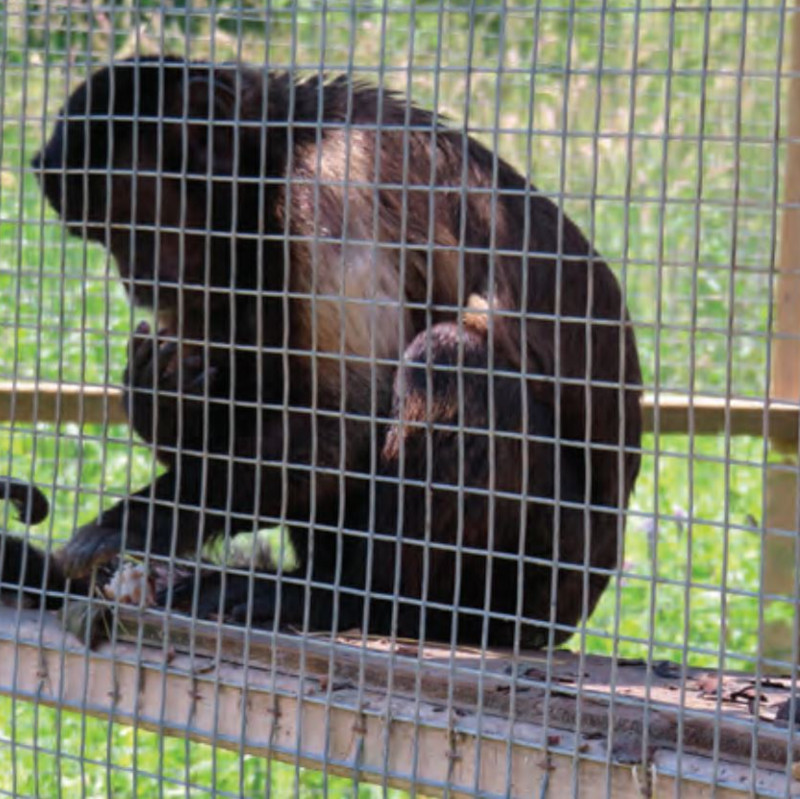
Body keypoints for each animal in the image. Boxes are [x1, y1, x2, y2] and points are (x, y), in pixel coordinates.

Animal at [0, 59, 640, 648]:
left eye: (130, 223)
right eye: (104, 236)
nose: (132, 273)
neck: (287, 146)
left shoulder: (330, 191)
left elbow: (351, 416)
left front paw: (144, 519)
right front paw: (168, 409)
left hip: (543, 575)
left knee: (445, 360)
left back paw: (356, 601)